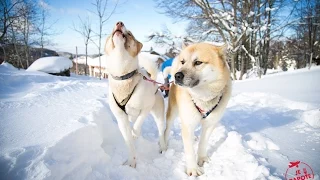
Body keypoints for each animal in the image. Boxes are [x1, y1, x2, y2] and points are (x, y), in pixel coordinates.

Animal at [105, 21, 168, 168]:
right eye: (111, 32)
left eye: (130, 34)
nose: (119, 22)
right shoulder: (121, 119)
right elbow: (129, 142)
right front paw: (131, 162)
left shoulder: (146, 107)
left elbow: (138, 123)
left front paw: (135, 133)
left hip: (158, 115)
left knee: (161, 132)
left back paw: (163, 148)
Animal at [164, 42, 231, 176]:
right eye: (183, 61)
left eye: (198, 62)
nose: (177, 75)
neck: (203, 97)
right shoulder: (187, 124)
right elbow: (189, 150)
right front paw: (193, 169)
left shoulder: (210, 124)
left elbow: (203, 143)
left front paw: (202, 159)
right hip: (172, 114)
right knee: (165, 131)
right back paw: (163, 147)